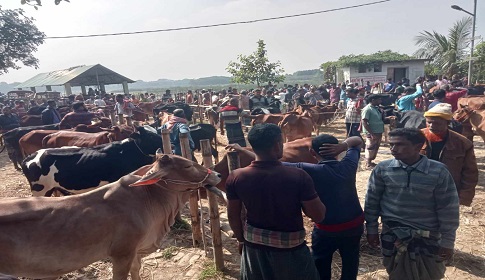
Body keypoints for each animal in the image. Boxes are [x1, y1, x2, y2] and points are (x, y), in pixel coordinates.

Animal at [0, 153, 222, 280]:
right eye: (187, 166)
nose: (218, 175)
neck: (150, 199)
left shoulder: (135, 252)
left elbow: (136, 270)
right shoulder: (122, 254)